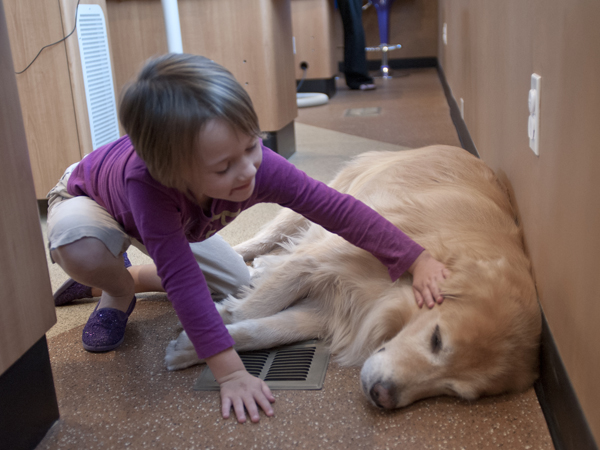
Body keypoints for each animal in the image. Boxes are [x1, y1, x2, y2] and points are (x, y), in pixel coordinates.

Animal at [165, 146, 544, 410]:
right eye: (437, 339)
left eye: (453, 390)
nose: (382, 396)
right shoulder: (320, 261)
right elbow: (251, 310)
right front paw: (210, 327)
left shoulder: (334, 309)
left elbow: (265, 331)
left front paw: (189, 349)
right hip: (321, 198)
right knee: (268, 237)